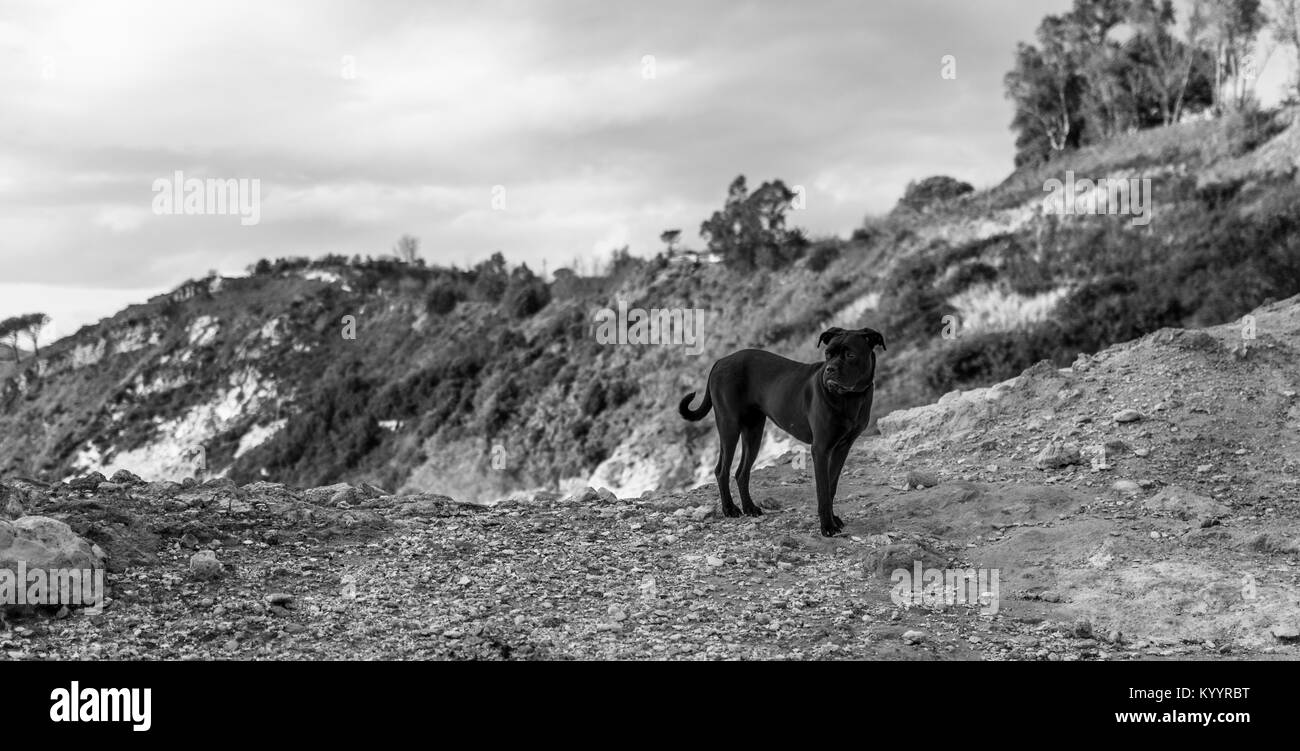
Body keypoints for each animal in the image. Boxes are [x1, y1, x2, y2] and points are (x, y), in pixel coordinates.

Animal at [681, 324, 883, 535]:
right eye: (828, 354)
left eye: (850, 355)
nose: (830, 369)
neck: (850, 397)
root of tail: (720, 361)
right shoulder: (821, 449)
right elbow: (823, 490)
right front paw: (827, 526)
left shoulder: (842, 448)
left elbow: (831, 486)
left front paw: (833, 519)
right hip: (729, 427)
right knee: (722, 470)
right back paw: (730, 509)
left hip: (753, 432)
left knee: (741, 472)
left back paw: (749, 508)